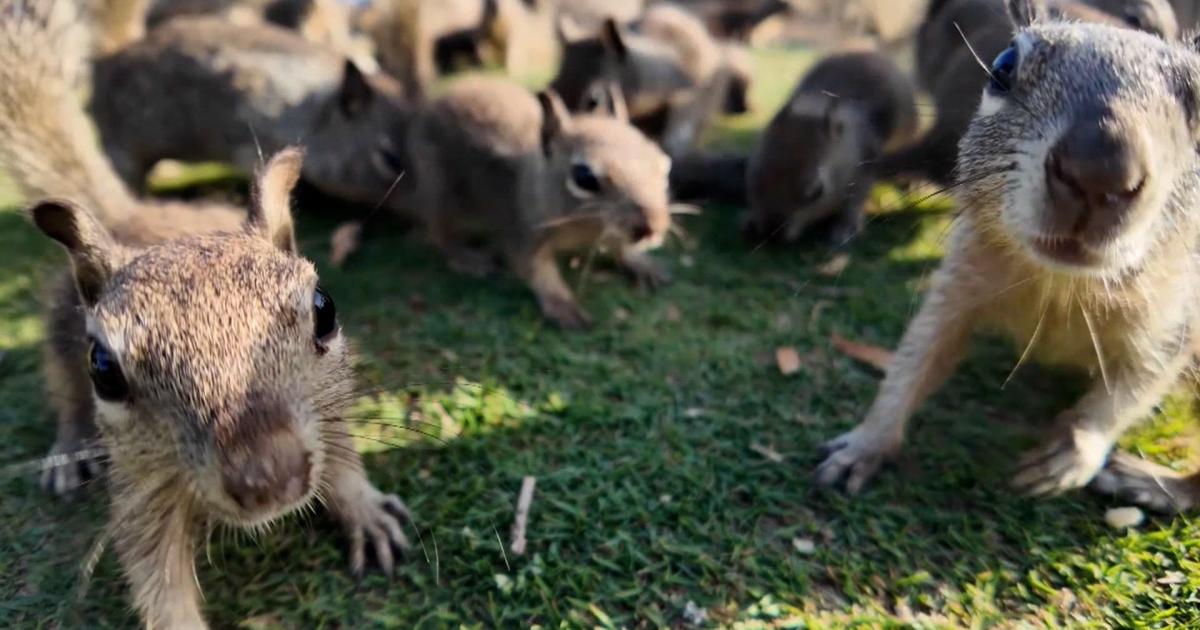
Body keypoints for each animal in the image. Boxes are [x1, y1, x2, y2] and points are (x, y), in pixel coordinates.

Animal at [403, 76, 672, 329]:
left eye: (663, 163)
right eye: (583, 177)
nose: (653, 227)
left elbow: (622, 247)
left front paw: (641, 263)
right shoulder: (521, 230)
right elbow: (537, 271)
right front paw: (562, 304)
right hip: (443, 197)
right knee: (441, 234)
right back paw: (467, 258)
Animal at [745, 49, 919, 245]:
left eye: (816, 191)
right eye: (753, 176)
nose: (771, 231)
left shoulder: (865, 163)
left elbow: (855, 201)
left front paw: (846, 227)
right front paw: (750, 222)